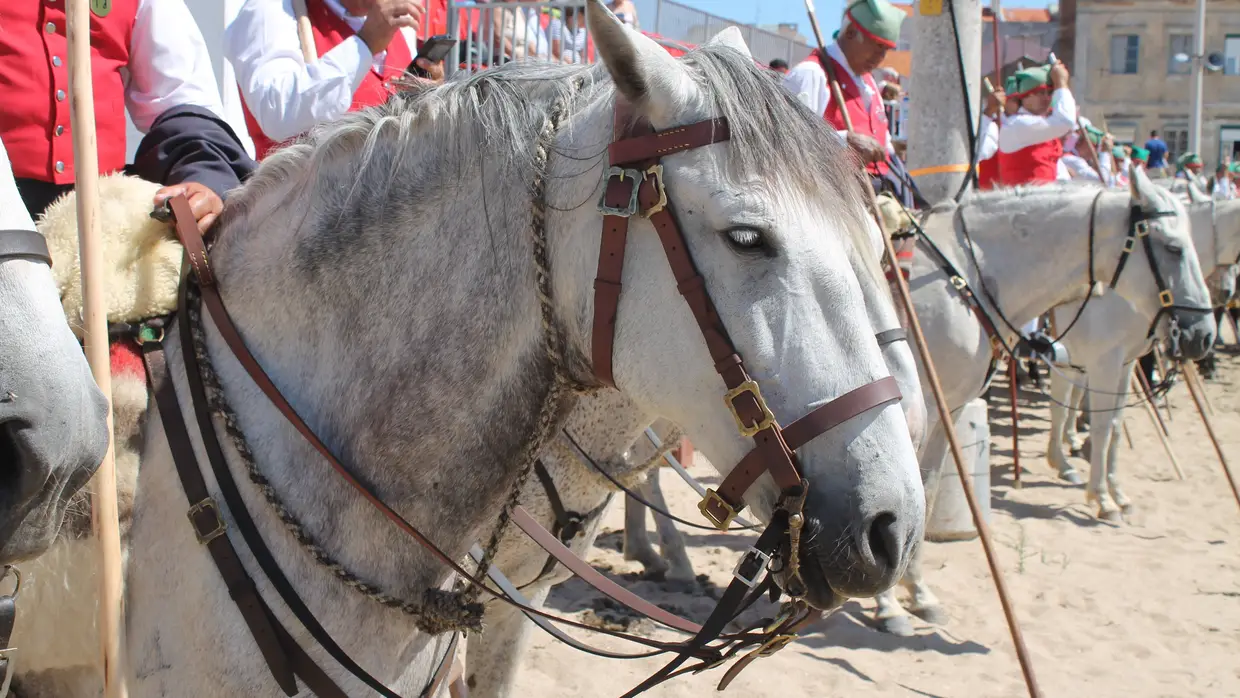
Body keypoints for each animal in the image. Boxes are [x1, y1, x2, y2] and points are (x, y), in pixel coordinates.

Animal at [868, 172, 1215, 634]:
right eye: (1173, 247)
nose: (1203, 335)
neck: (966, 276)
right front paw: (888, 604)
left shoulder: (948, 410)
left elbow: (925, 489)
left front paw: (919, 593)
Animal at [1046, 188, 1240, 515]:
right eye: (1175, 249)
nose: (1205, 337)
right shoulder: (1101, 361)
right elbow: (1094, 422)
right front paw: (1101, 497)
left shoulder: (1123, 362)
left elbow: (1114, 424)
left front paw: (1116, 491)